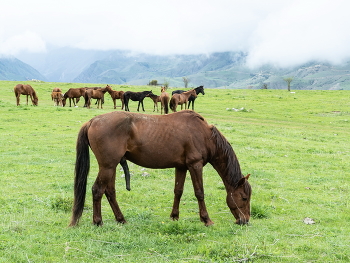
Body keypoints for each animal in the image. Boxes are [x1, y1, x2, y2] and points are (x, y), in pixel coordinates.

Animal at [69, 110, 252, 228]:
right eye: (244, 198)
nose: (244, 221)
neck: (205, 135)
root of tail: (92, 121)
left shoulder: (181, 167)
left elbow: (178, 191)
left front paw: (174, 216)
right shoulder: (195, 165)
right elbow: (199, 193)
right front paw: (206, 219)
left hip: (111, 167)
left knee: (110, 192)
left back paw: (121, 219)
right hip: (107, 166)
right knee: (97, 190)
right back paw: (98, 221)